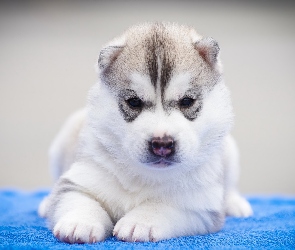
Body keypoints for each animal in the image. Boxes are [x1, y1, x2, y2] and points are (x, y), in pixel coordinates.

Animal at [38, 22, 252, 243]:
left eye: (187, 101)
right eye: (134, 102)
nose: (162, 144)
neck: (145, 175)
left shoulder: (199, 205)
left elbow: (164, 206)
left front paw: (140, 222)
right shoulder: (80, 178)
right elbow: (76, 198)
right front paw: (80, 222)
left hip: (230, 151)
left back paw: (235, 204)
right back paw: (46, 203)